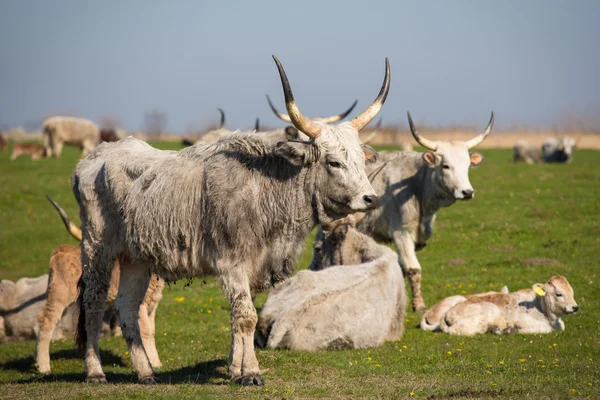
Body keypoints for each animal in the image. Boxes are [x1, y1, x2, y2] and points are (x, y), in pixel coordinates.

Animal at [35, 197, 166, 376]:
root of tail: (61, 250)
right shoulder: (139, 304)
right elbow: (144, 330)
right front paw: (151, 363)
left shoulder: (152, 305)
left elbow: (151, 330)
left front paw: (154, 362)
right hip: (59, 295)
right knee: (46, 320)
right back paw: (43, 366)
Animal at [71, 54, 390, 386]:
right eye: (334, 162)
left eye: (360, 160)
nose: (370, 198)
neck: (266, 188)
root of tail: (97, 155)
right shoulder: (232, 263)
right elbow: (247, 316)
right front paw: (251, 372)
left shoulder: (255, 267)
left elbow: (239, 316)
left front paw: (236, 368)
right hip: (97, 248)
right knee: (93, 302)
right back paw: (95, 371)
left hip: (135, 258)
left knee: (127, 307)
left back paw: (145, 372)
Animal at [312, 112, 494, 312]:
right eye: (446, 166)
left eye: (468, 166)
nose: (467, 192)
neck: (417, 184)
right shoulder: (402, 233)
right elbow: (413, 269)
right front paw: (419, 305)